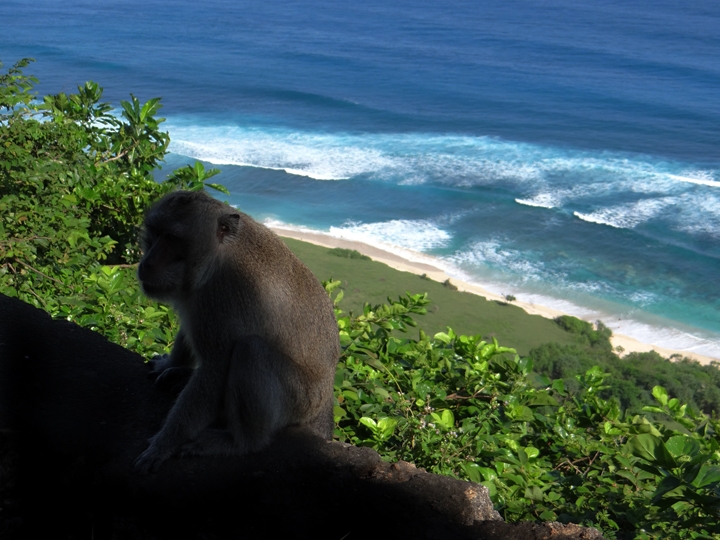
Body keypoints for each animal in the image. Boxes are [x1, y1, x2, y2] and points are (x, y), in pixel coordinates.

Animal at [134, 189, 340, 472]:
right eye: (155, 233)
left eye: (172, 239)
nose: (146, 263)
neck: (217, 256)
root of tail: (325, 400)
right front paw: (171, 364)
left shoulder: (220, 294)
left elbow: (216, 369)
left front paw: (164, 444)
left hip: (300, 400)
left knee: (250, 350)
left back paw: (240, 442)